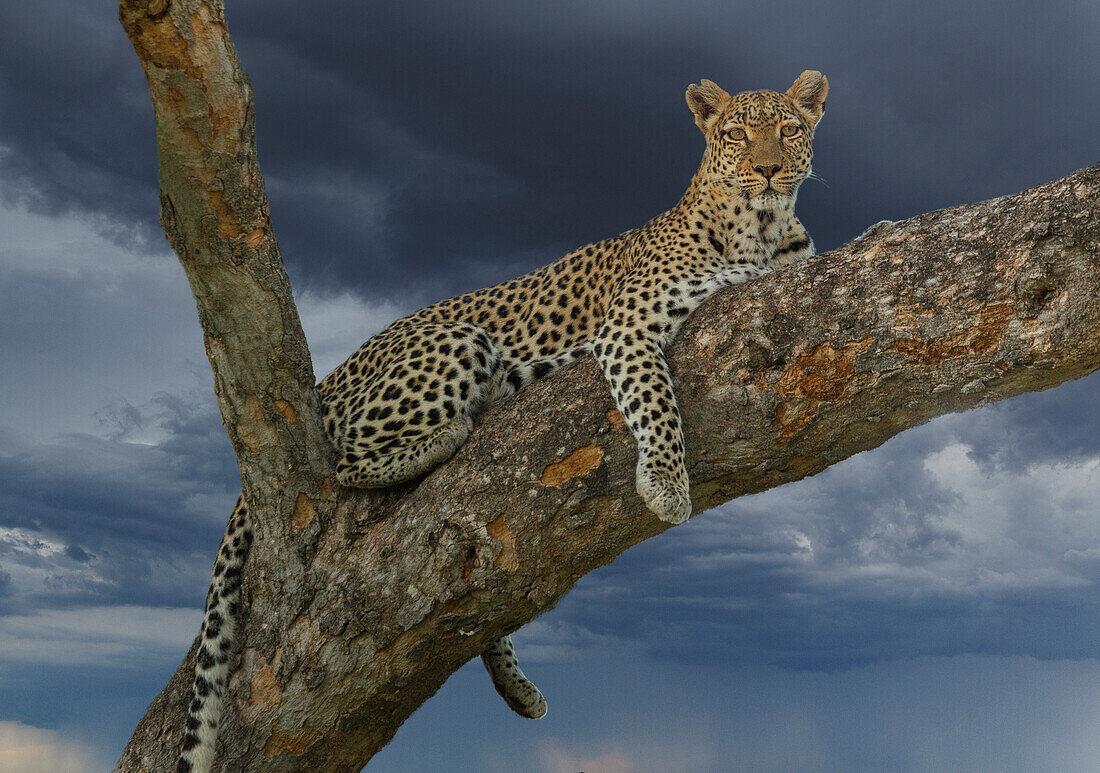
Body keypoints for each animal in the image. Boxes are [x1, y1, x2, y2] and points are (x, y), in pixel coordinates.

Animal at [176, 69, 822, 769]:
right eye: (737, 135)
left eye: (789, 129)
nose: (768, 169)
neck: (761, 231)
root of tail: (328, 377)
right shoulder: (628, 327)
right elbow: (655, 399)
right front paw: (666, 486)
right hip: (459, 341)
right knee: (342, 463)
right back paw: (449, 434)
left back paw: (516, 687)